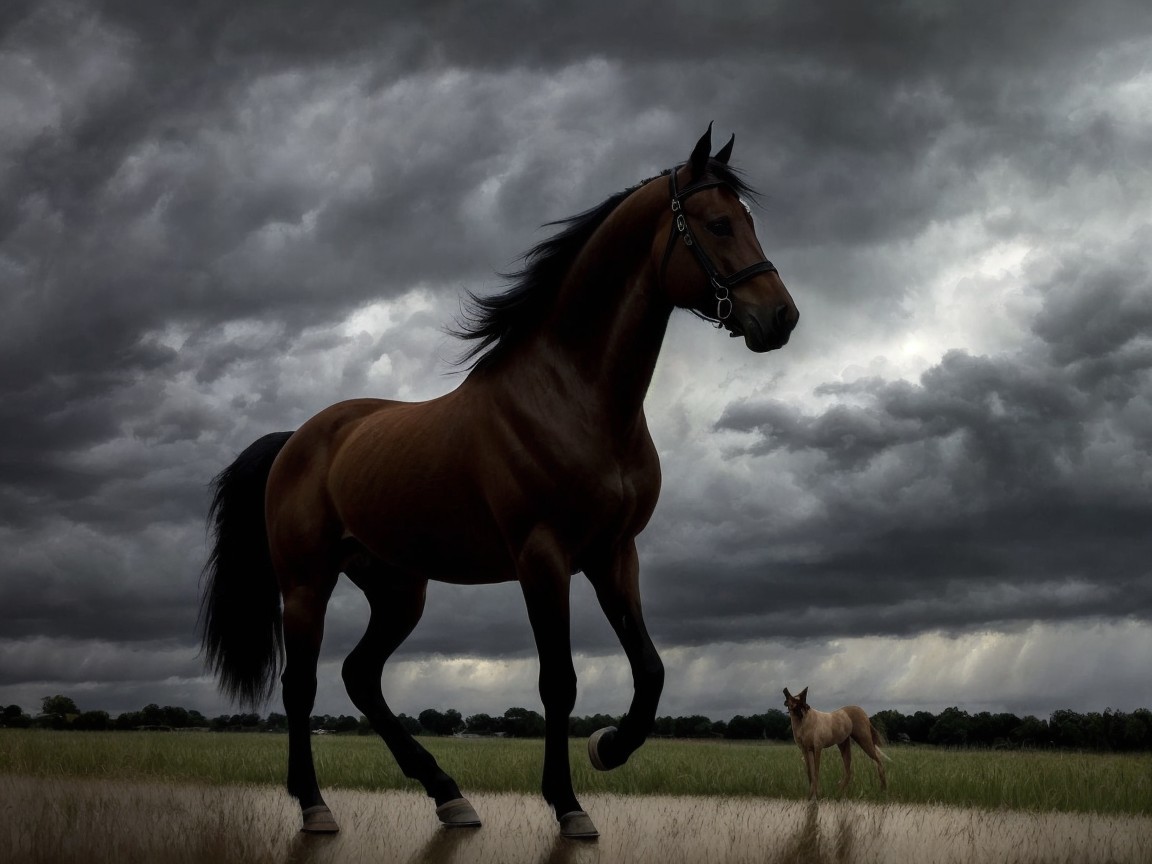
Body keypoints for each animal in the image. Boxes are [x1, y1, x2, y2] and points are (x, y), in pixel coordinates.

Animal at [199, 124, 799, 840]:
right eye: (718, 223)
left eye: (750, 220)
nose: (782, 318)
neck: (572, 397)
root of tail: (295, 438)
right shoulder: (543, 558)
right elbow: (558, 682)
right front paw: (568, 804)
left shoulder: (613, 554)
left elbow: (650, 670)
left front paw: (607, 748)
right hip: (305, 583)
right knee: (302, 686)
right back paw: (315, 805)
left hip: (398, 589)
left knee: (360, 676)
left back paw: (448, 795)